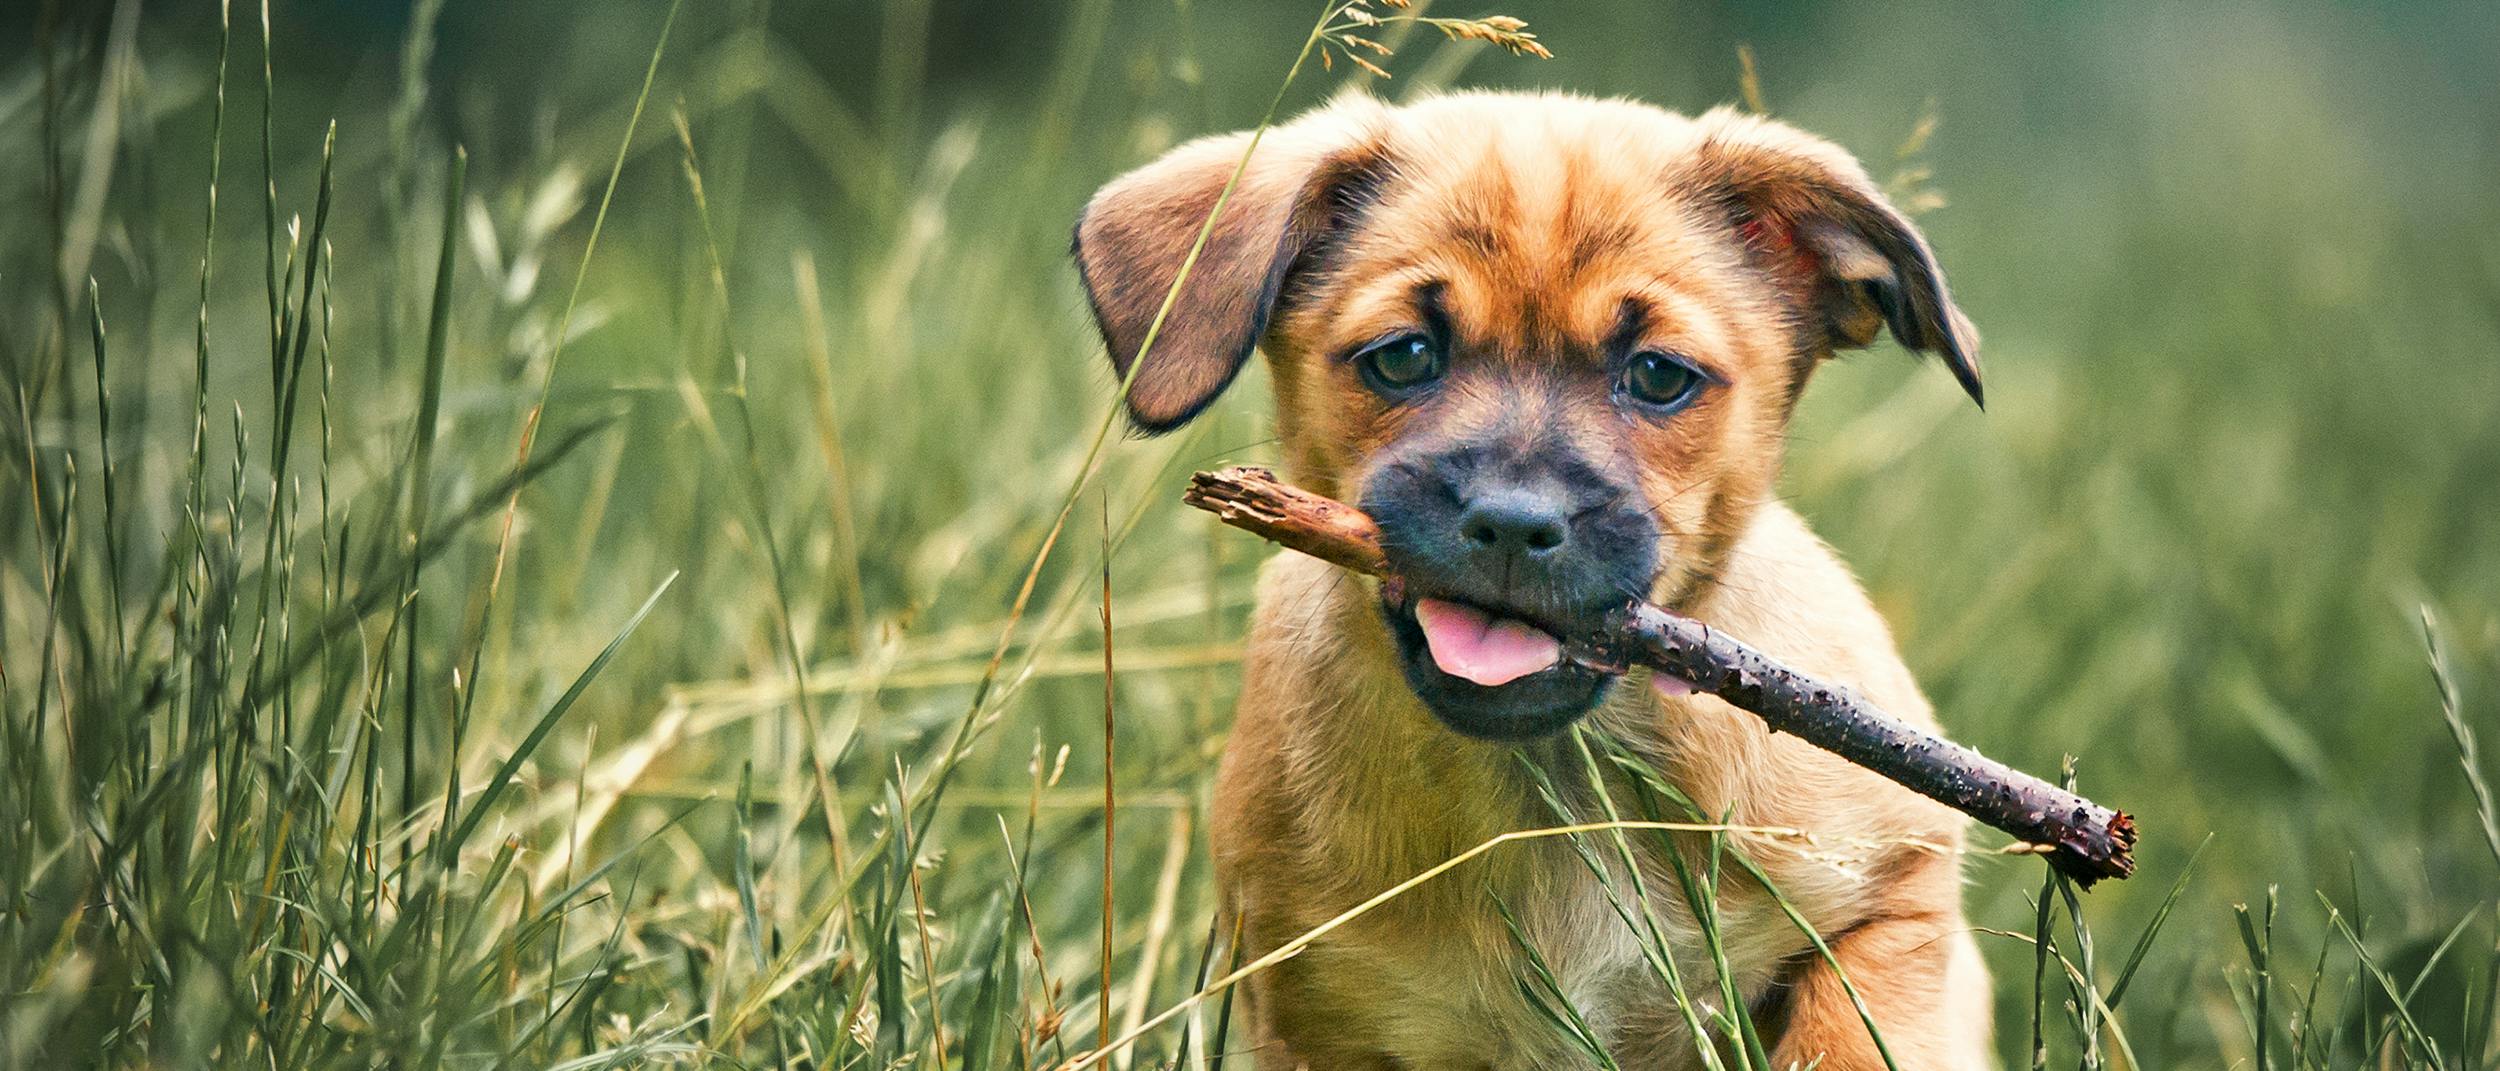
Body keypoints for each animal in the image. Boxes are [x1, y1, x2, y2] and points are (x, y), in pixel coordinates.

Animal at [1075, 93, 1990, 1071]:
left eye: (1659, 376)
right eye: (1402, 357)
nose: (1514, 523)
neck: (1552, 788)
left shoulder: (1894, 900)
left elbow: (1847, 1035)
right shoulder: (1313, 1010)